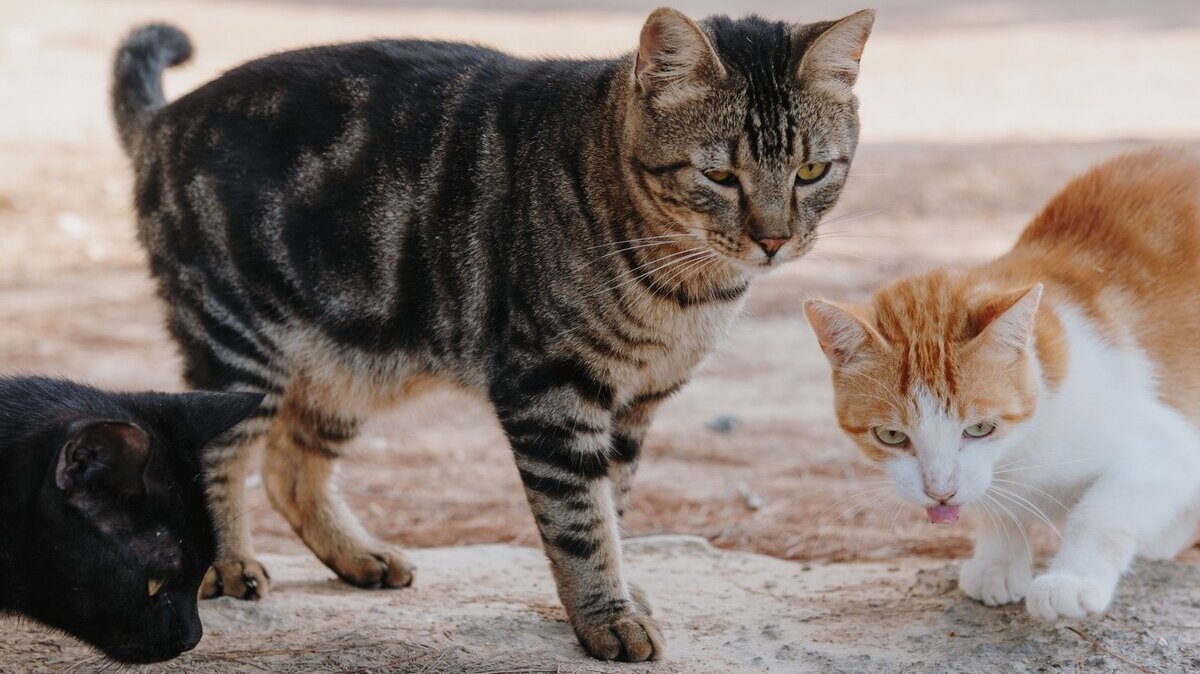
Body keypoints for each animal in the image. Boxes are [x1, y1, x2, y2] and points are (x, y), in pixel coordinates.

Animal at [110, 7, 873, 657]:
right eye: (719, 174)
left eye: (811, 170)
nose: (773, 240)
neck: (689, 291)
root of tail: (164, 121)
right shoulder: (553, 390)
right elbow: (580, 522)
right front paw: (606, 617)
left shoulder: (635, 405)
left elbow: (615, 507)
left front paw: (621, 592)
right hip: (239, 343)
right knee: (220, 452)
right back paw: (229, 564)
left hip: (350, 360)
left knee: (290, 464)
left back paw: (360, 556)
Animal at [801, 149, 1200, 623]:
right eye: (891, 436)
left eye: (979, 429)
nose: (939, 492)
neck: (1027, 444)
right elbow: (990, 499)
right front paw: (1000, 558)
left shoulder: (1166, 449)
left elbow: (1101, 512)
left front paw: (1071, 579)